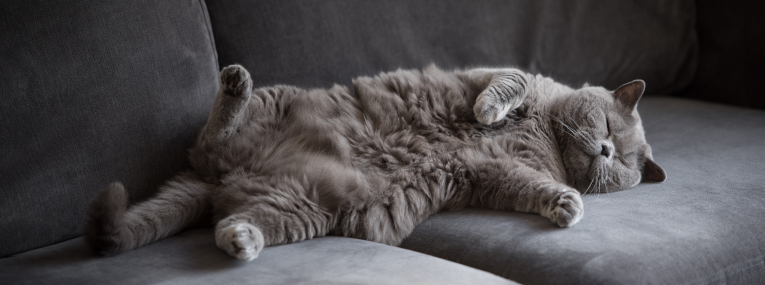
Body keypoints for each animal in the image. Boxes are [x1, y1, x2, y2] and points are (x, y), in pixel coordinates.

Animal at [86, 63, 664, 260]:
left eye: (620, 163)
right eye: (608, 129)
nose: (606, 150)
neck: (546, 131)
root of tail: (216, 179)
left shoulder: (496, 172)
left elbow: (531, 186)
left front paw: (567, 203)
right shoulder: (490, 74)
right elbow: (509, 83)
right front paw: (490, 110)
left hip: (305, 206)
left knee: (231, 220)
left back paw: (243, 241)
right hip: (276, 102)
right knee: (211, 133)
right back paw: (234, 84)